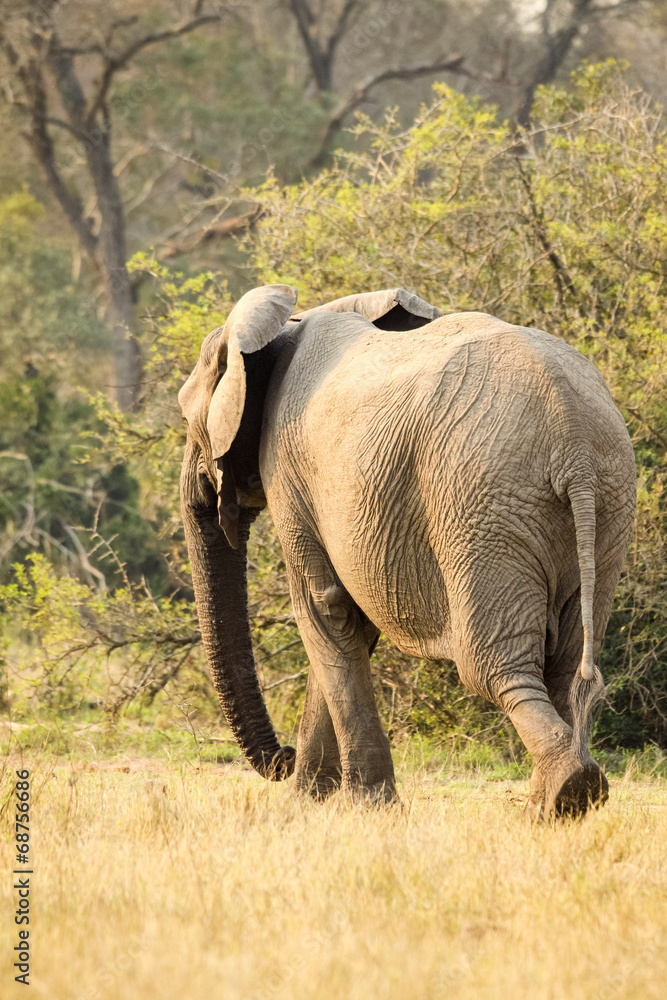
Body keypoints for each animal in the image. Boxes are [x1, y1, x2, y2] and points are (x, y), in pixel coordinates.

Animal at [177, 282, 636, 820]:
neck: (285, 325)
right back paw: (556, 804)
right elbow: (346, 625)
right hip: (606, 502)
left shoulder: (288, 473)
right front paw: (310, 801)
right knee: (565, 665)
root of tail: (575, 444)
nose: (282, 759)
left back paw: (566, 792)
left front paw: (364, 806)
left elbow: (325, 608)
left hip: (480, 501)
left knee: (492, 666)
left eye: (186, 418)